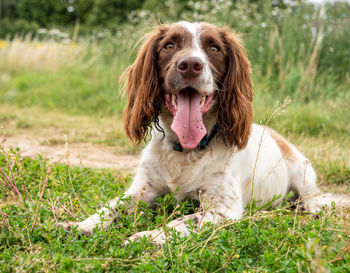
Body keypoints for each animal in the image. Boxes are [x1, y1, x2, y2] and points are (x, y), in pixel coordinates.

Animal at [58, 20, 348, 243]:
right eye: (169, 45)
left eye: (214, 48)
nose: (189, 65)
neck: (186, 151)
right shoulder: (142, 189)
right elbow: (110, 207)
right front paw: (81, 225)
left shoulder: (222, 206)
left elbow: (182, 221)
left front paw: (148, 236)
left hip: (303, 172)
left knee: (314, 197)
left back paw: (307, 207)